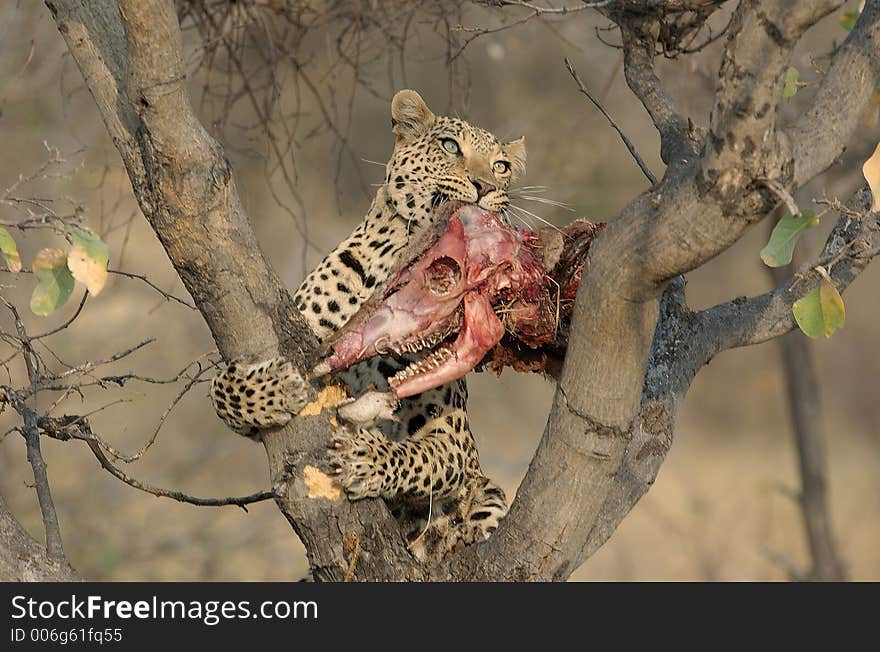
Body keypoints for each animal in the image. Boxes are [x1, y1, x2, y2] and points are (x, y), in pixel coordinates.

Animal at [210, 89, 524, 564]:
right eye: (450, 145)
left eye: (501, 166)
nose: (485, 187)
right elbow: (219, 390)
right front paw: (271, 389)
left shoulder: (454, 436)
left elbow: (418, 457)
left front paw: (367, 459)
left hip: (486, 491)